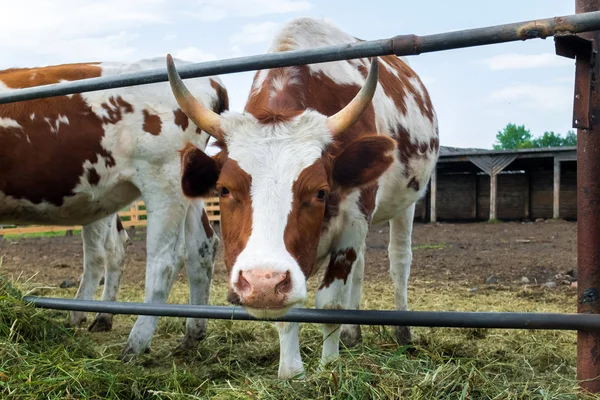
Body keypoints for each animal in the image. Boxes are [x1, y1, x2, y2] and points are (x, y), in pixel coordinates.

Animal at [0, 57, 229, 356]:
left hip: (163, 179)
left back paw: (135, 343)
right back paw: (191, 334)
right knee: (202, 247)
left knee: (163, 260)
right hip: (188, 187)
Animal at [166, 18, 438, 378]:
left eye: (320, 191)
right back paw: (353, 333)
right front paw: (291, 372)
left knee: (399, 261)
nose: (262, 282)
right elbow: (291, 309)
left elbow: (330, 301)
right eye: (223, 189)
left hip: (406, 203)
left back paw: (402, 332)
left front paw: (329, 367)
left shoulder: (354, 220)